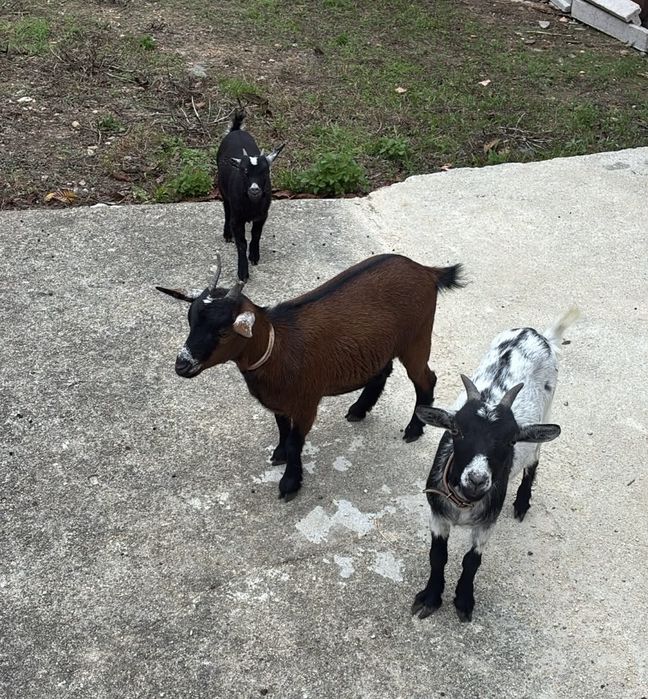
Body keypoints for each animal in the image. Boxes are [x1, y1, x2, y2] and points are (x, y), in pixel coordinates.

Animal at [156, 253, 464, 499]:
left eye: (222, 331)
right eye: (190, 320)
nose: (182, 365)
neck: (277, 347)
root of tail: (426, 271)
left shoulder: (306, 403)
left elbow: (296, 441)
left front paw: (290, 484)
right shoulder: (279, 402)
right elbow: (282, 429)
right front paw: (279, 454)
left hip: (417, 338)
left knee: (425, 379)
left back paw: (413, 429)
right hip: (382, 345)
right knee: (383, 371)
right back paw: (359, 409)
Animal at [216, 111, 284, 282]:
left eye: (265, 171)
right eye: (244, 171)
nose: (254, 190)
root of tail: (236, 130)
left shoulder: (262, 216)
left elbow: (256, 234)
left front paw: (254, 256)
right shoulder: (237, 219)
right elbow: (241, 243)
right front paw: (243, 272)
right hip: (223, 191)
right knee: (226, 208)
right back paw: (227, 234)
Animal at [411, 307, 579, 622]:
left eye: (510, 440)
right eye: (456, 431)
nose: (477, 479)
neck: (464, 504)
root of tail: (535, 333)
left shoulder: (486, 524)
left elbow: (471, 561)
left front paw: (464, 601)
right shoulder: (437, 516)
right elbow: (438, 555)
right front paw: (430, 597)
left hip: (545, 416)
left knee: (534, 462)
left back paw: (523, 502)